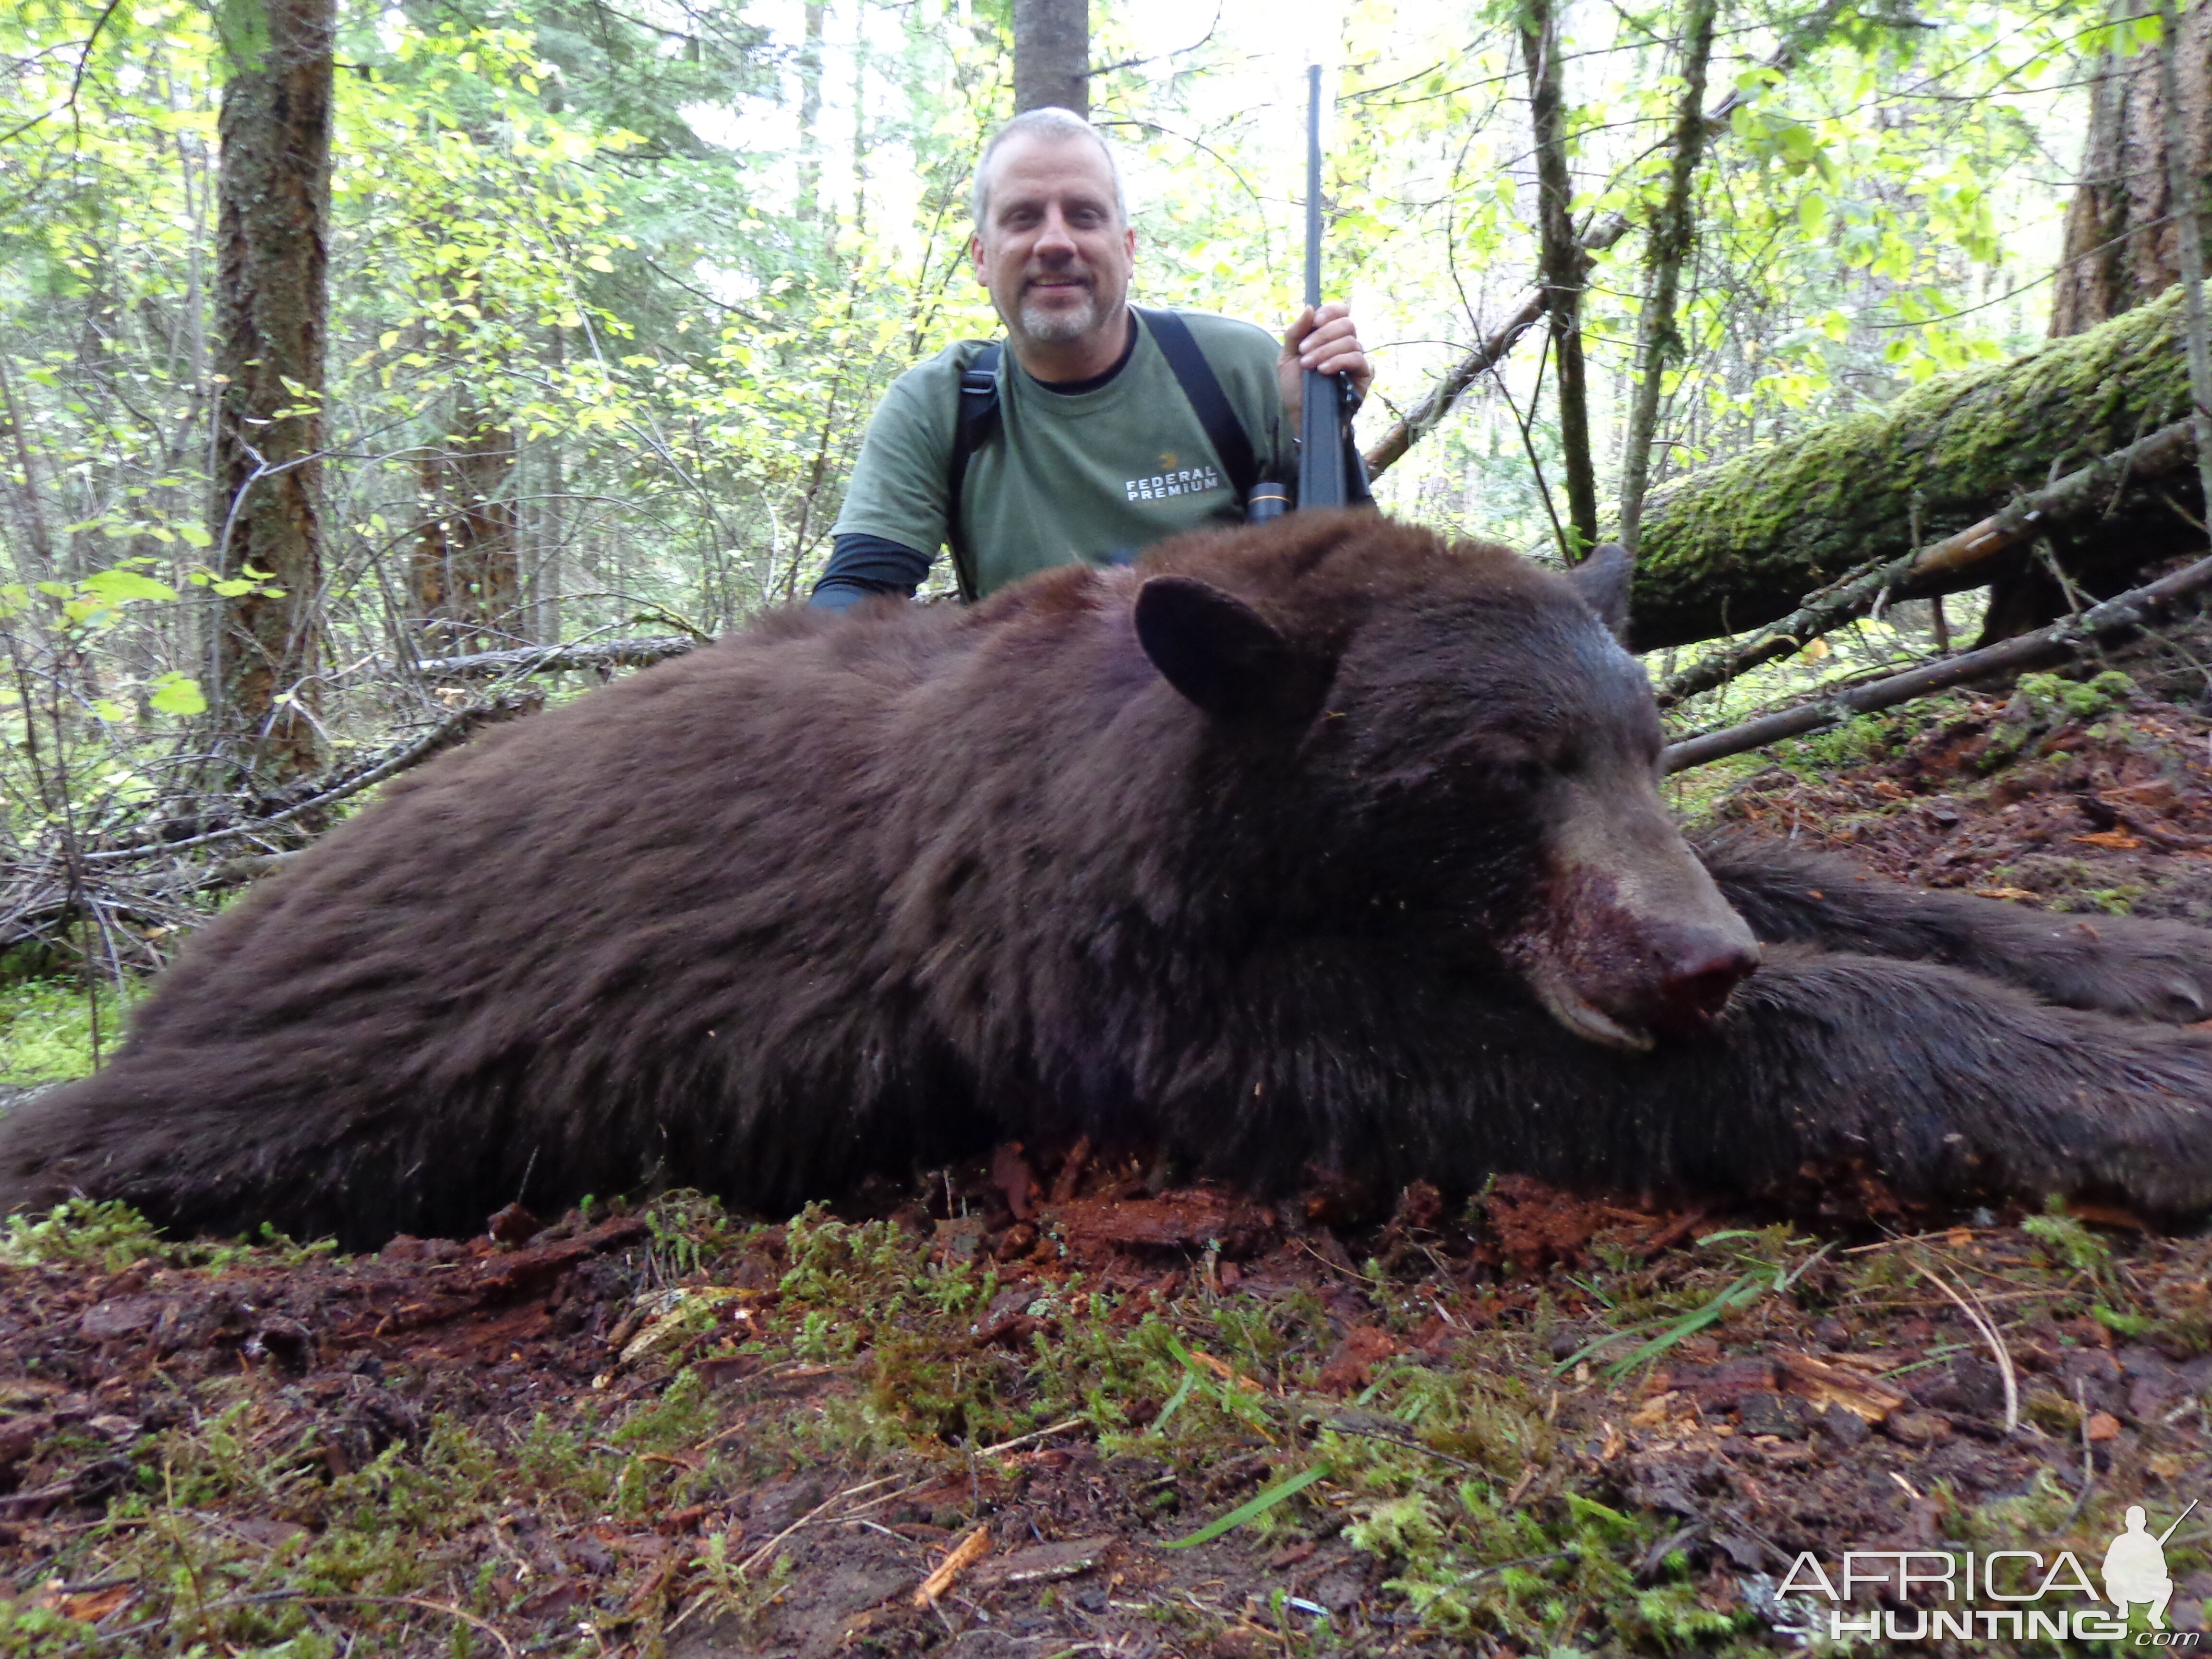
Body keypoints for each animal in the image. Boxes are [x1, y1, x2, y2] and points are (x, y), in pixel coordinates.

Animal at [4, 513, 2212, 1256]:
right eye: (1490, 775)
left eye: (1639, 741)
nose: (1683, 963)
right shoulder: (1085, 972)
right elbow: (1411, 1062)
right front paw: (2141, 1098)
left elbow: (1827, 878)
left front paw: (2135, 953)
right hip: (294, 1091)